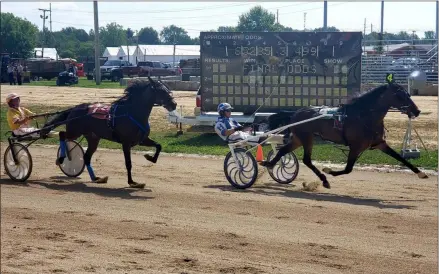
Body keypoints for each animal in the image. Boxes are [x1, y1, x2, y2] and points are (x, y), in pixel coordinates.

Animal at [42, 77, 177, 188]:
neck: (132, 113)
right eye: (161, 91)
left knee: (86, 157)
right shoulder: (126, 143)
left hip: (93, 138)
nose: (174, 104)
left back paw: (96, 178)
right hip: (75, 131)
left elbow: (158, 146)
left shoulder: (141, 140)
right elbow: (128, 163)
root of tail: (75, 108)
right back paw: (62, 158)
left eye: (168, 89)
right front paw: (132, 182)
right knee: (62, 135)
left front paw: (150, 157)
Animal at [262, 77, 430, 188]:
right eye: (399, 95)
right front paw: (329, 170)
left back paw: (270, 164)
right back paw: (324, 179)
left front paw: (421, 173)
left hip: (299, 138)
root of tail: (295, 113)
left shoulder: (379, 143)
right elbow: (348, 169)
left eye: (408, 94)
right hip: (306, 138)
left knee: (284, 151)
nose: (417, 111)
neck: (364, 116)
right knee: (306, 160)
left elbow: (401, 158)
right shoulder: (356, 147)